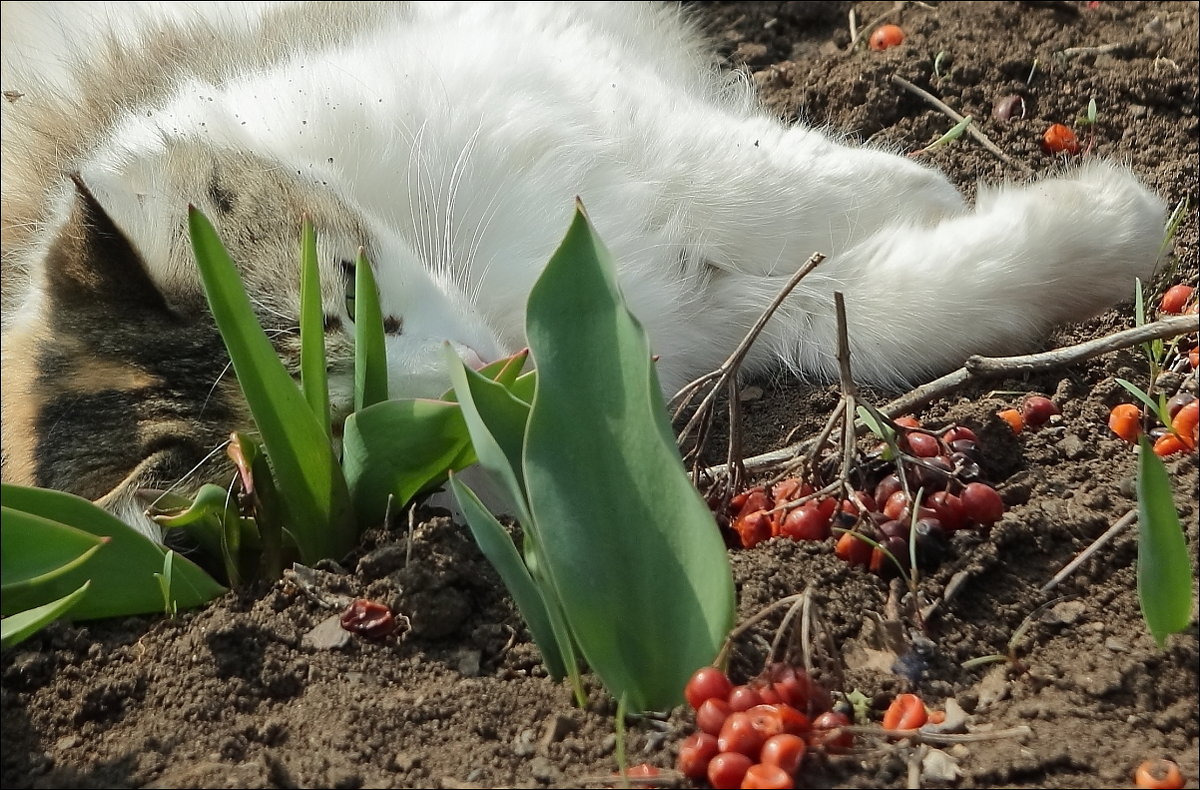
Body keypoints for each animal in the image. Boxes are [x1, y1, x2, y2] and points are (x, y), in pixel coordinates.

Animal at [0, 1, 1161, 535]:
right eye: (369, 441)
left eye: (365, 306)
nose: (487, 365)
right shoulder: (705, 316)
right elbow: (871, 313)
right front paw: (1106, 231)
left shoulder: (558, 83)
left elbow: (760, 183)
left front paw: (928, 187)